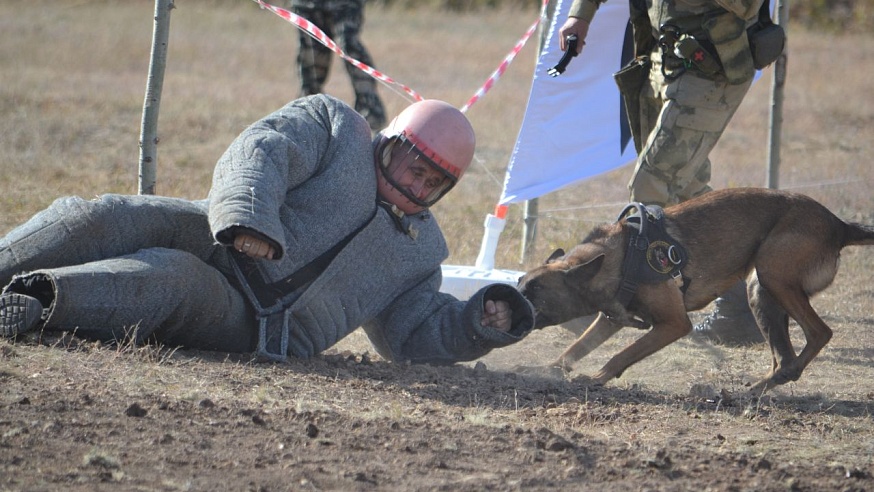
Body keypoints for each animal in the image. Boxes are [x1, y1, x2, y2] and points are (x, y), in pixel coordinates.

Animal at [516, 187, 872, 392]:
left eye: (534, 290)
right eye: (520, 284)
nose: (509, 301)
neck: (620, 255)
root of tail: (839, 224)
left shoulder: (674, 324)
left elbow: (622, 354)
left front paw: (596, 378)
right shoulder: (610, 319)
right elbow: (576, 348)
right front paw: (548, 369)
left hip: (774, 276)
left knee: (820, 332)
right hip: (762, 291)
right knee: (783, 359)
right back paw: (753, 390)